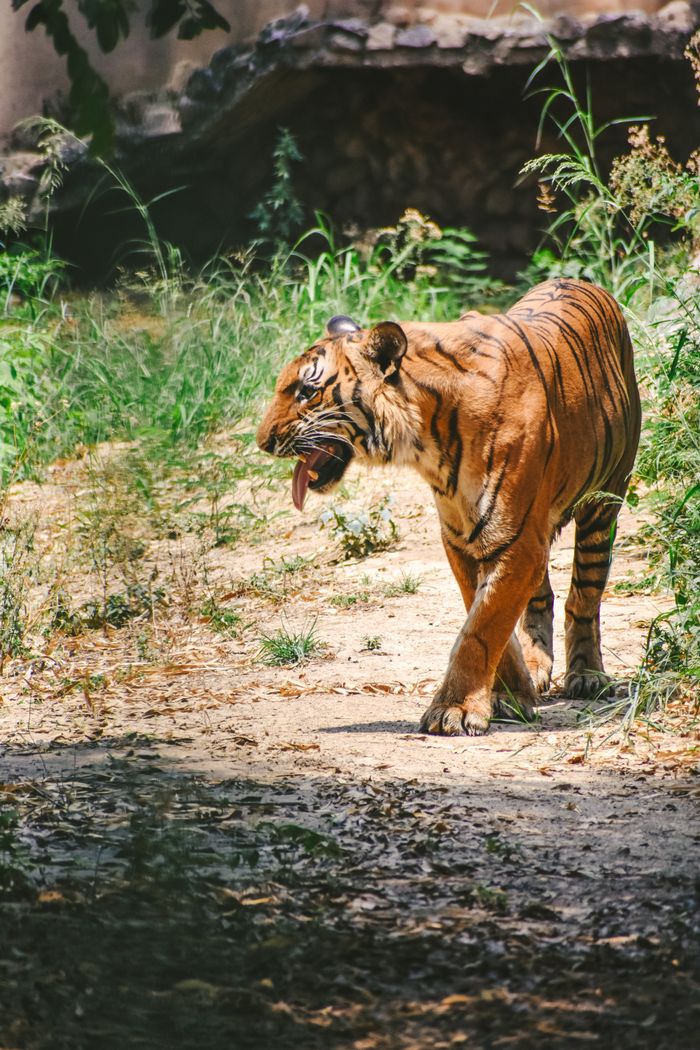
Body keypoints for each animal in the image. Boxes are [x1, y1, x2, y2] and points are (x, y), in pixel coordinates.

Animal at [256, 278, 641, 736]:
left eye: (307, 391)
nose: (262, 441)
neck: (426, 441)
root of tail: (579, 280)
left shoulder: (516, 540)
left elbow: (482, 627)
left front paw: (454, 709)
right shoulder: (466, 538)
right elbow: (490, 621)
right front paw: (512, 695)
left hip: (603, 503)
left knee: (584, 594)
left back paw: (587, 676)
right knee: (541, 597)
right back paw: (538, 669)